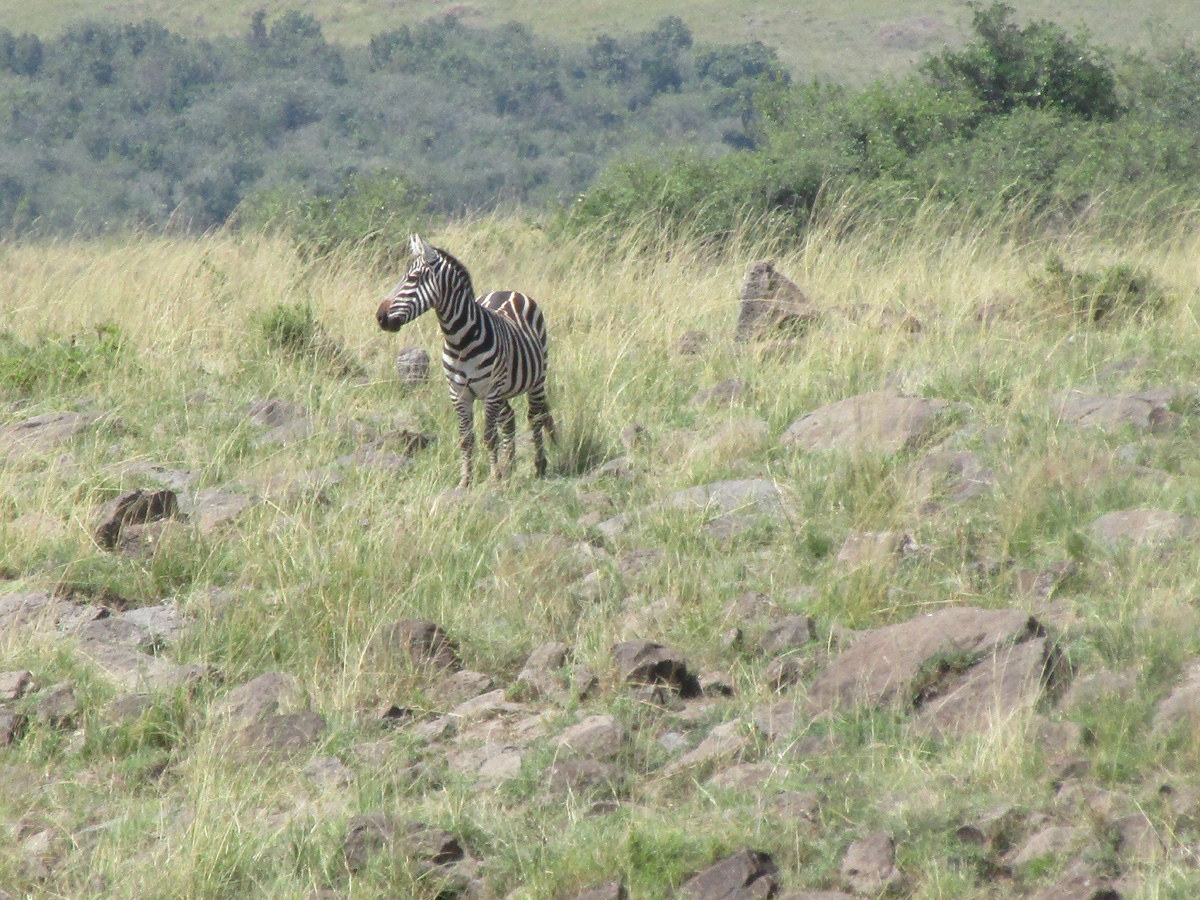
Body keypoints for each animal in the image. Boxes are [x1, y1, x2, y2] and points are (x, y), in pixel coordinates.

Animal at [376, 235, 557, 488]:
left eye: (412, 278)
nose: (380, 317)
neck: (459, 341)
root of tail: (507, 291)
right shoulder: (459, 393)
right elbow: (466, 438)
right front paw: (467, 480)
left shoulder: (490, 392)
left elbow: (489, 438)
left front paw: (493, 478)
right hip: (503, 389)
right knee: (509, 419)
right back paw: (508, 466)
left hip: (536, 379)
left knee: (535, 417)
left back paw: (539, 466)